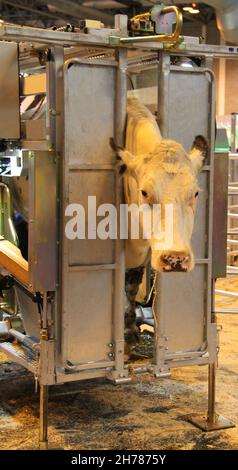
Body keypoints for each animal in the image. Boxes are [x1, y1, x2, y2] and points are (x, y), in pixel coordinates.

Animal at [112, 97, 207, 344]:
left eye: (195, 193)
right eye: (145, 192)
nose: (176, 258)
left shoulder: (142, 259)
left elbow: (131, 287)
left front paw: (130, 329)